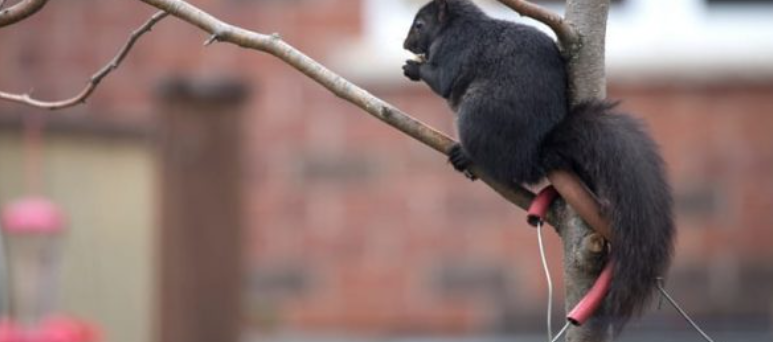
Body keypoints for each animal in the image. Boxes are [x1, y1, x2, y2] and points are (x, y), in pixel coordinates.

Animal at [402, 0, 672, 332]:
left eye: (420, 25)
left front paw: (414, 68)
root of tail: (534, 155)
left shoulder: (455, 49)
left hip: (477, 111)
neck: (457, 25)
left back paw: (466, 156)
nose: (406, 45)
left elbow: (441, 81)